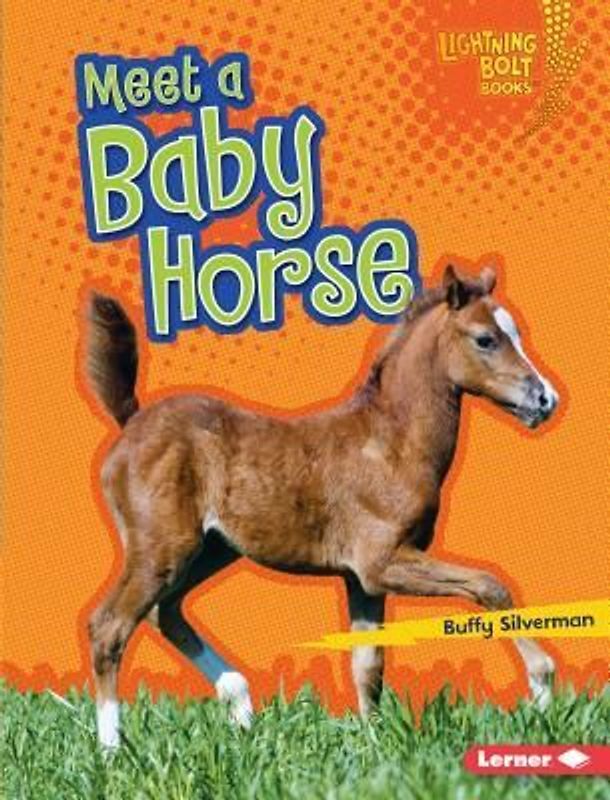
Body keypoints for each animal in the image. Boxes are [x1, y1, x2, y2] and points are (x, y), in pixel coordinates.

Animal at [85, 264, 559, 749]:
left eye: (516, 333)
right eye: (485, 339)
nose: (545, 400)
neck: (391, 443)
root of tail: (132, 421)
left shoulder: (362, 580)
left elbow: (368, 665)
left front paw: (375, 745)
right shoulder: (382, 562)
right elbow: (489, 585)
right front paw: (542, 691)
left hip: (208, 551)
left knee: (165, 613)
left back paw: (241, 707)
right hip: (163, 548)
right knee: (110, 627)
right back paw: (112, 749)